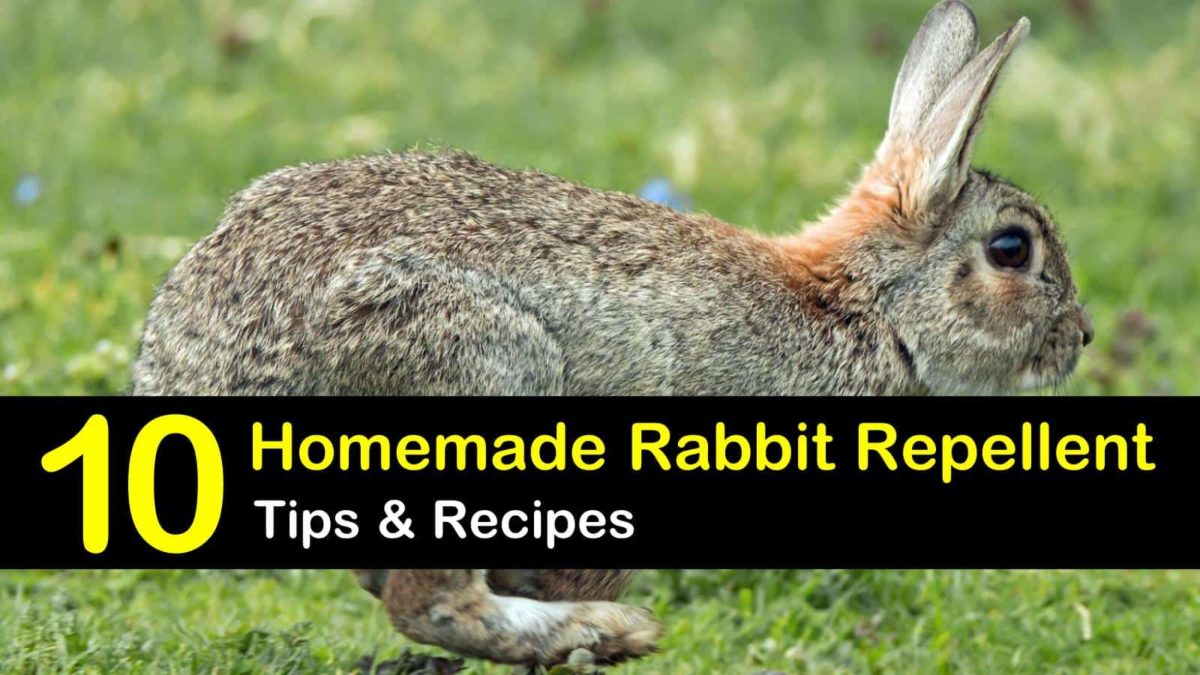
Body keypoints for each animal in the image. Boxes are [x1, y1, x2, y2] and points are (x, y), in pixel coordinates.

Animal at [131, 0, 1092, 667]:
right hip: (477, 372)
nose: (1080, 335)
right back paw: (604, 631)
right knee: (429, 600)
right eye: (1012, 249)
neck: (865, 310)